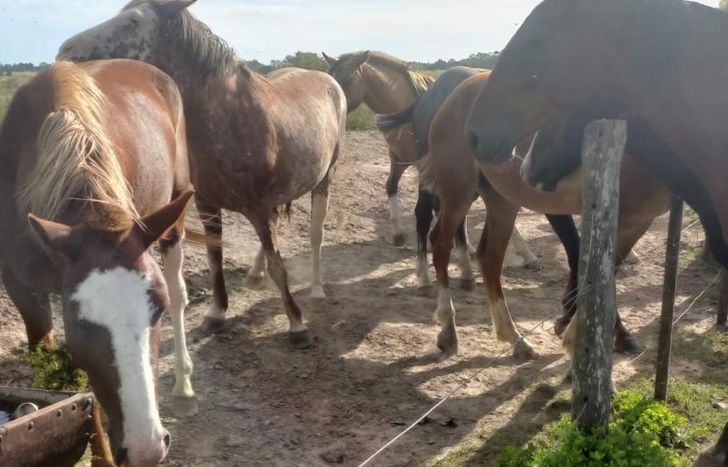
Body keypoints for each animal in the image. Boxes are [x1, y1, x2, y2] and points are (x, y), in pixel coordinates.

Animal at [0, 59, 195, 466]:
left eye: (157, 310)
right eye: (82, 323)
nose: (146, 448)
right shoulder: (22, 289)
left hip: (174, 218)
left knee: (181, 292)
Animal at [58, 0, 348, 349]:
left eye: (133, 20)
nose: (64, 50)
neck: (230, 116)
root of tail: (328, 80)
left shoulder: (259, 208)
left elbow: (278, 264)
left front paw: (297, 324)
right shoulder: (208, 204)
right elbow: (215, 258)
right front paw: (217, 313)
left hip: (324, 178)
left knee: (316, 233)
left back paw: (316, 288)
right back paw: (255, 275)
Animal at [382, 69, 669, 359]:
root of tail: (451, 94)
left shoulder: (636, 220)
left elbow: (602, 269)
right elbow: (592, 264)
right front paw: (580, 330)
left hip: (501, 200)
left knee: (489, 256)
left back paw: (514, 338)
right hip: (458, 190)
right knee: (440, 243)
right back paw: (448, 331)